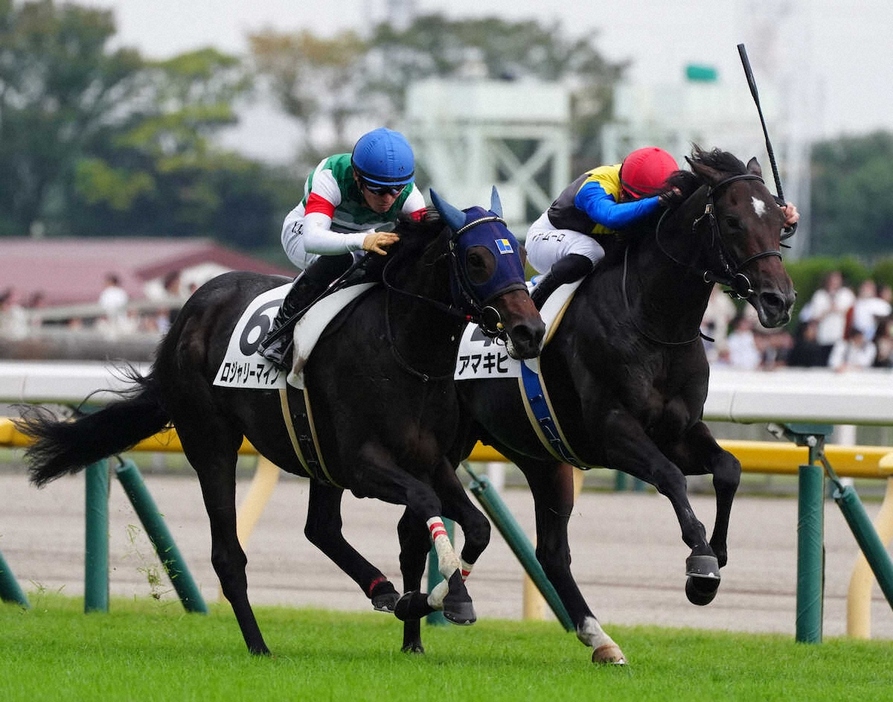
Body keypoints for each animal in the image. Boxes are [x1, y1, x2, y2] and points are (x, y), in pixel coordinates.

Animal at [15, 188, 544, 660]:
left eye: (518, 254)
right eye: (476, 259)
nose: (530, 331)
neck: (403, 347)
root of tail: (190, 310)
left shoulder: (430, 459)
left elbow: (476, 526)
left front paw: (437, 601)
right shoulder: (363, 465)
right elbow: (426, 503)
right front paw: (444, 599)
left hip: (316, 455)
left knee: (321, 528)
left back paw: (382, 590)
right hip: (211, 441)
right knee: (229, 554)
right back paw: (259, 645)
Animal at [396, 146, 796, 664]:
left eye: (779, 222)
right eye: (732, 221)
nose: (779, 300)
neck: (652, 320)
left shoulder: (680, 430)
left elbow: (729, 468)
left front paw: (716, 559)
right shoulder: (612, 431)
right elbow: (670, 477)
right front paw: (701, 563)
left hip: (540, 457)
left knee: (549, 552)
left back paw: (597, 638)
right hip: (440, 444)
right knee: (413, 531)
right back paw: (414, 632)